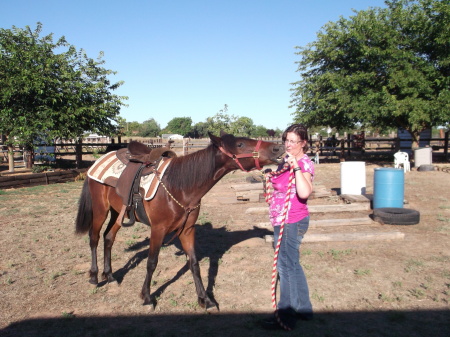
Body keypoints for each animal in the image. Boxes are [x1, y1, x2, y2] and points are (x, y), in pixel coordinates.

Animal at [74, 130, 284, 308]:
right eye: (240, 144)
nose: (278, 148)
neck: (180, 186)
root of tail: (96, 163)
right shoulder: (158, 229)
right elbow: (152, 262)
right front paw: (147, 297)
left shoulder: (187, 230)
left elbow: (194, 264)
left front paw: (205, 299)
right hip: (100, 210)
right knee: (94, 238)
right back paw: (94, 276)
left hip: (118, 213)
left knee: (109, 238)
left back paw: (110, 276)